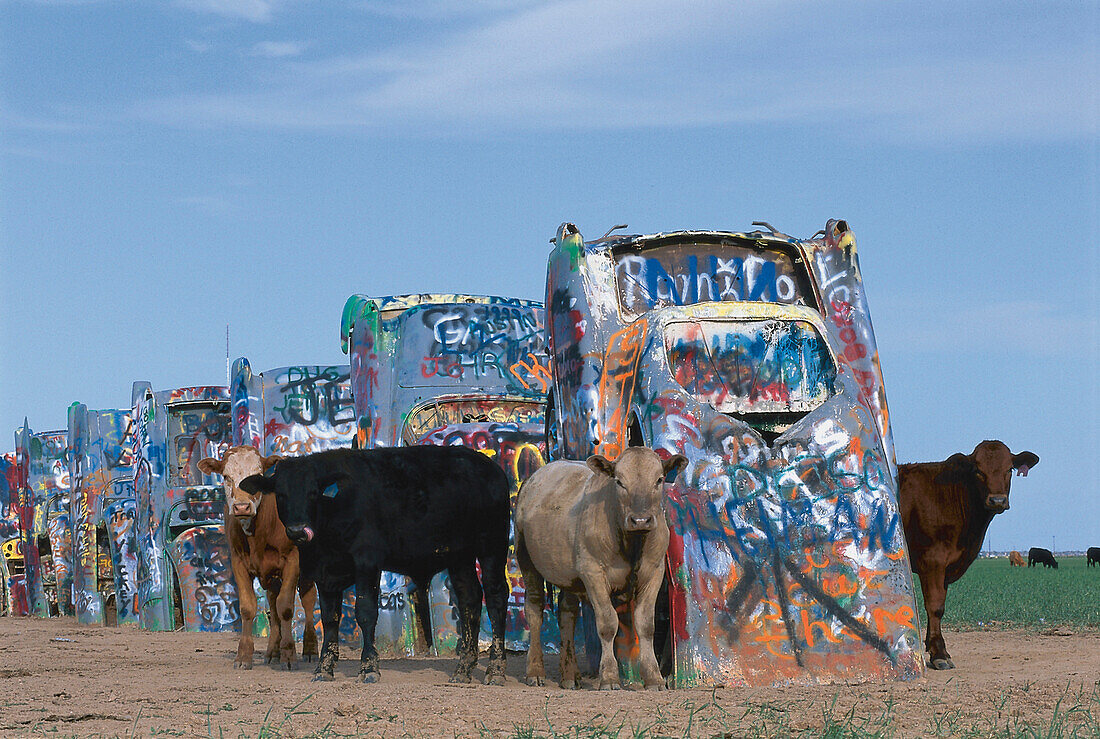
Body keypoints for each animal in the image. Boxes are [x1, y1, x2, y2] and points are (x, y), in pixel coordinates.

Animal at [198, 444, 316, 668]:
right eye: (226, 476)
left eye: (259, 474)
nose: (242, 507)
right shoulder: (238, 562)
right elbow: (248, 608)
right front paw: (244, 655)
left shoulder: (293, 560)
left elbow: (286, 607)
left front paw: (289, 655)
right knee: (273, 606)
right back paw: (273, 651)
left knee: (308, 602)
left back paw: (311, 648)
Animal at [240, 444, 510, 681]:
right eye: (281, 494)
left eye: (313, 493)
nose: (297, 531)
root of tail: (489, 466)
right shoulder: (324, 574)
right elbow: (329, 619)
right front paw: (324, 668)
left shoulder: (367, 562)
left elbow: (366, 612)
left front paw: (369, 667)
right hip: (460, 557)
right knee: (469, 601)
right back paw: (463, 669)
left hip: (492, 547)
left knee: (495, 597)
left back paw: (495, 670)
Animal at [512, 444, 682, 695]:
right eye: (619, 481)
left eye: (659, 479)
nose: (641, 520)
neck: (632, 544)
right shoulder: (593, 572)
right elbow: (607, 623)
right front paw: (609, 677)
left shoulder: (654, 572)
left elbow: (646, 625)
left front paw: (654, 678)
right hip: (526, 558)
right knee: (534, 610)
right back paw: (535, 671)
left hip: (569, 576)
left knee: (567, 614)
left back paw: (570, 675)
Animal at [897, 442, 1034, 673]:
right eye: (978, 470)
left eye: (1009, 469)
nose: (997, 500)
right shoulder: (932, 561)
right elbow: (935, 606)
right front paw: (939, 655)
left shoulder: (945, 567)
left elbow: (940, 604)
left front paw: (936, 649)